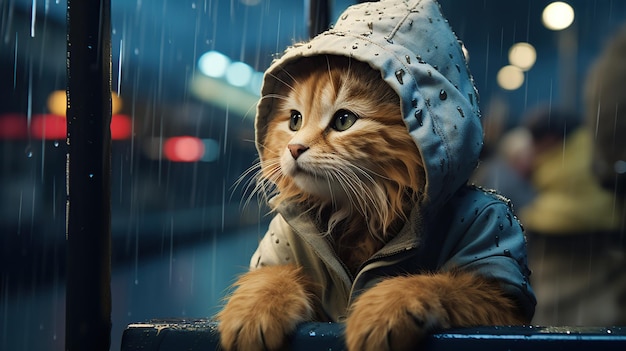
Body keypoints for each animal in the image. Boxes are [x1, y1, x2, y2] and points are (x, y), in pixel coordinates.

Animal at [217, 0, 532, 351]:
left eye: (343, 120)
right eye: (294, 121)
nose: (295, 148)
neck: (361, 212)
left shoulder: (500, 285)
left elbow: (444, 284)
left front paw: (385, 308)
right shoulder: (282, 243)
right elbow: (271, 276)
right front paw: (253, 311)